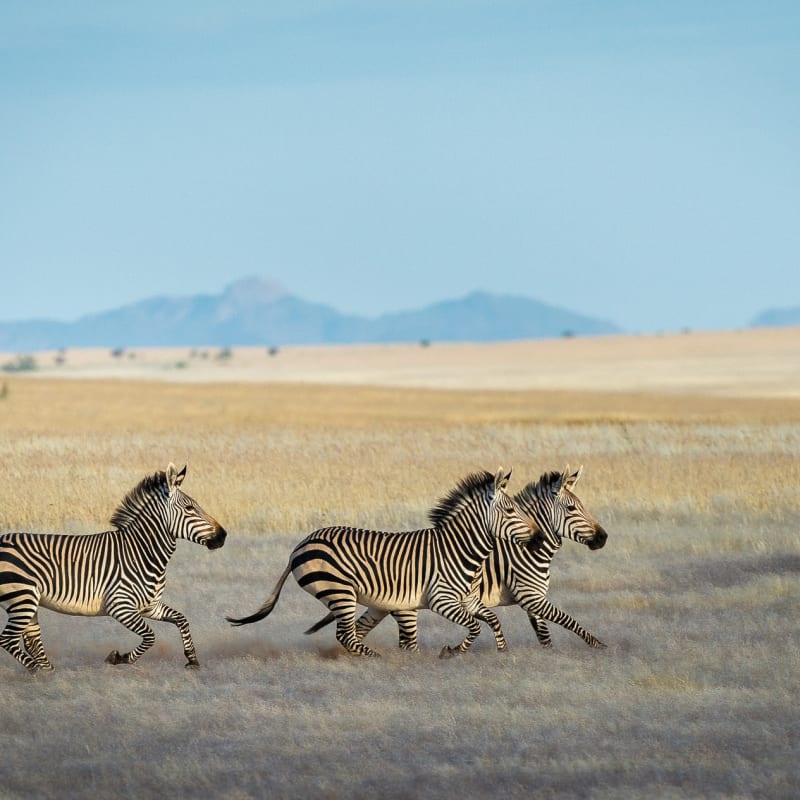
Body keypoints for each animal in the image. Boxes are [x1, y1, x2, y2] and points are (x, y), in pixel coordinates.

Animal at [0, 464, 227, 673]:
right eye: (189, 508)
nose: (223, 536)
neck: (140, 553)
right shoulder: (120, 606)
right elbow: (150, 637)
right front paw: (119, 658)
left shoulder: (150, 606)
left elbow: (182, 620)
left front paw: (192, 659)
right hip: (22, 599)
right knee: (8, 640)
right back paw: (37, 671)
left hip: (28, 602)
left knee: (31, 639)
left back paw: (47, 672)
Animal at [227, 468, 533, 658]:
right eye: (510, 510)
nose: (537, 535)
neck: (458, 549)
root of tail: (299, 546)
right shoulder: (440, 599)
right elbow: (475, 626)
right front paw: (452, 651)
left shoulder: (467, 599)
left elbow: (492, 620)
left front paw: (502, 651)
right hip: (340, 591)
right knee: (346, 635)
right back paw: (378, 658)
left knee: (352, 635)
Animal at [306, 466, 608, 651]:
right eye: (572, 509)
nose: (603, 538)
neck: (523, 551)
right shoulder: (529, 595)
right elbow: (567, 620)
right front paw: (598, 646)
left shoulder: (532, 599)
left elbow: (544, 634)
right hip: (403, 606)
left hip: (382, 604)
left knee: (360, 630)